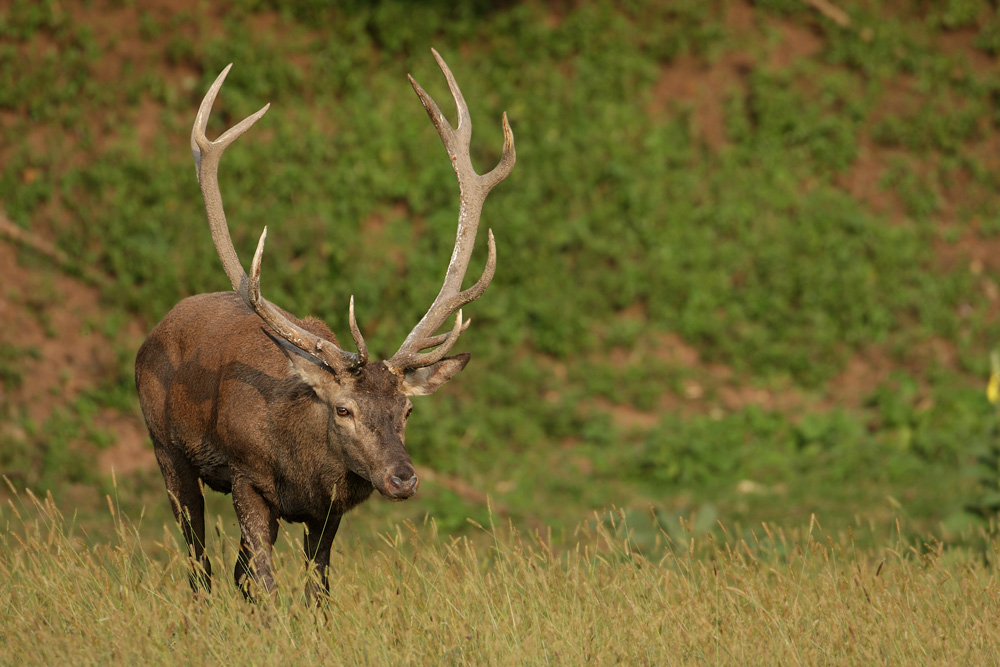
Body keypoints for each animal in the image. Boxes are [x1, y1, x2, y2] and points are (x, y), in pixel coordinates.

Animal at [134, 50, 515, 602]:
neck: (301, 472)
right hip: (165, 448)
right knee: (199, 563)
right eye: (343, 409)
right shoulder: (246, 477)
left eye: (407, 410)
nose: (403, 478)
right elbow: (267, 585)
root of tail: (156, 330)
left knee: (232, 572)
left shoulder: (328, 511)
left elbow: (317, 590)